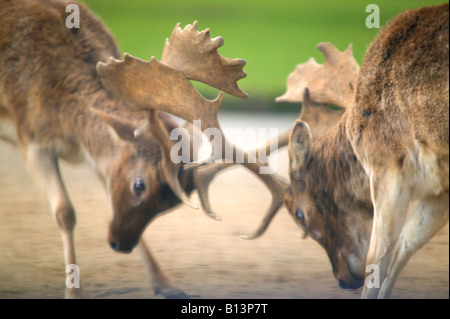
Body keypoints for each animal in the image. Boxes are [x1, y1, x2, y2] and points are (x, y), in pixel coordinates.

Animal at [0, 0, 286, 300]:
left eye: (171, 204)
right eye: (140, 185)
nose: (119, 244)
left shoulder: (99, 157)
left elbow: (107, 198)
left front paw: (167, 284)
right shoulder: (30, 136)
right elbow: (65, 212)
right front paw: (73, 293)